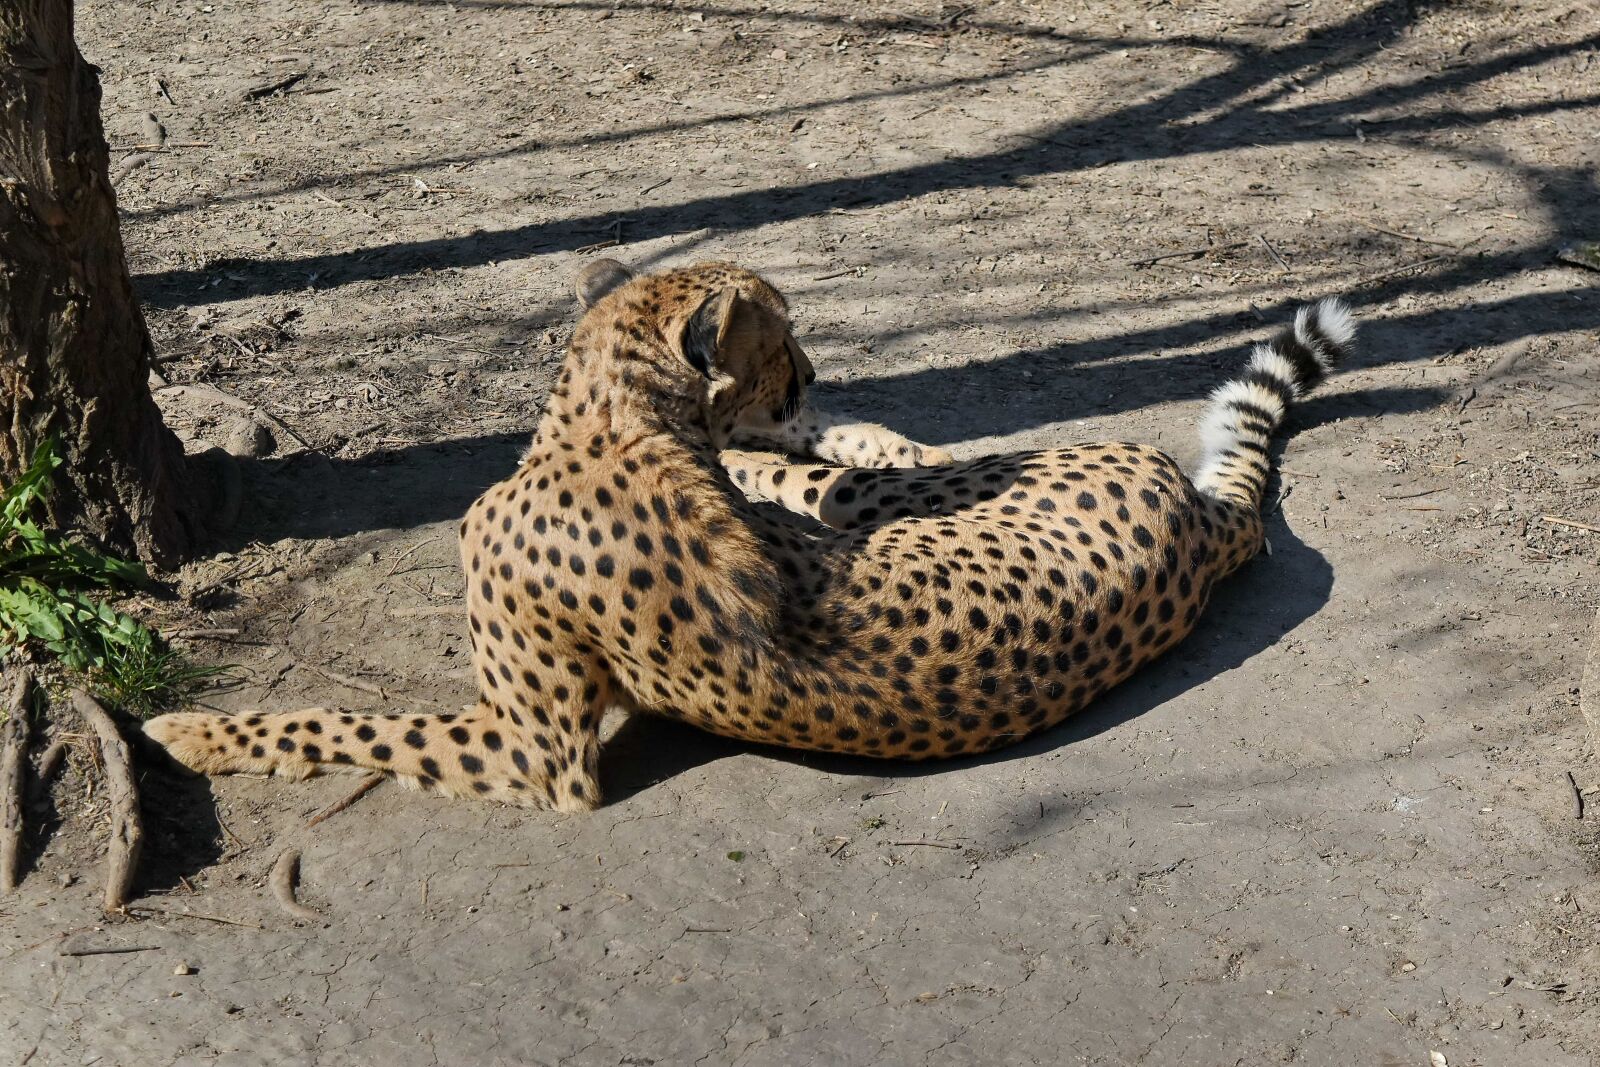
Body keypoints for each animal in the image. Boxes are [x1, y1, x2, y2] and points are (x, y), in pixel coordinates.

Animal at [145, 258, 1355, 814]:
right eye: (782, 337)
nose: (808, 375)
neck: (613, 418)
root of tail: (1203, 525)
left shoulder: (539, 755)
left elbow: (349, 721)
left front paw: (192, 732)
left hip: (897, 499)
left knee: (849, 470)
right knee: (856, 458)